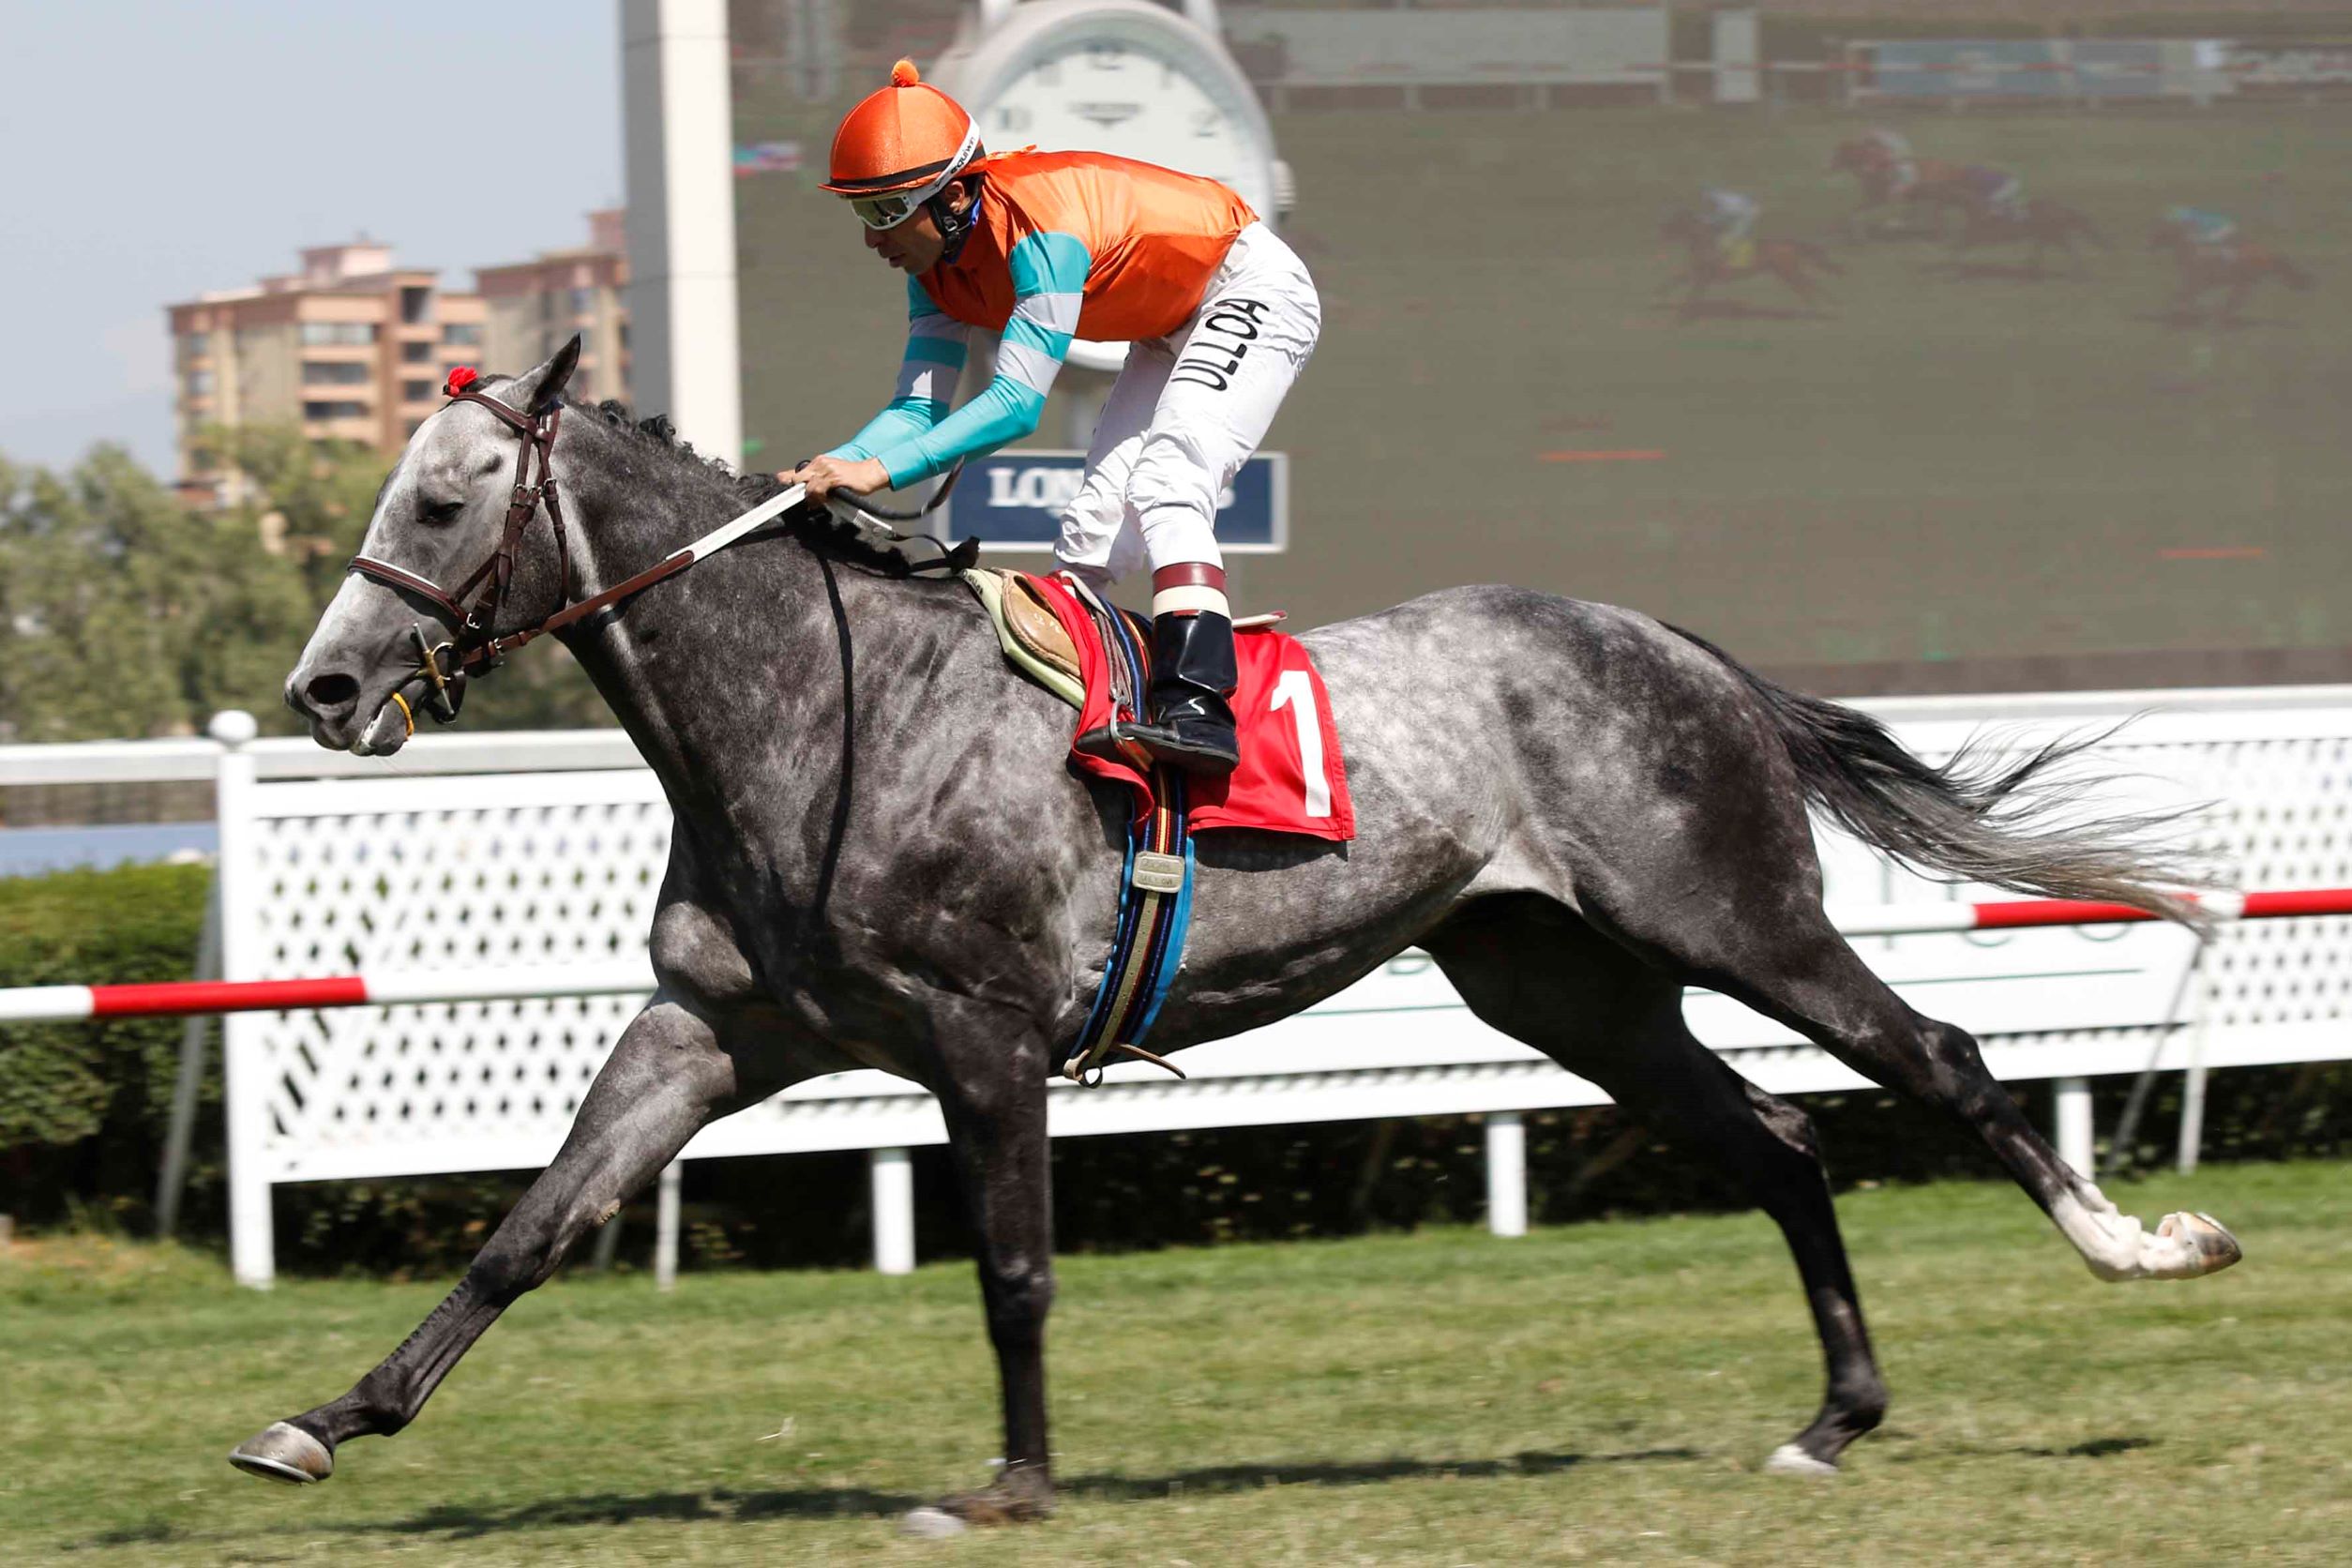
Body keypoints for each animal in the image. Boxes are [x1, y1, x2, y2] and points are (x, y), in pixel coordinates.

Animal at [239, 336, 2243, 1532]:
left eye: (440, 499)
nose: (324, 688)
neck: (818, 708)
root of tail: (1671, 643)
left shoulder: (983, 1033)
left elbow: (1013, 1268)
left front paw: (1009, 1485)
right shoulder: (715, 1030)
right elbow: (528, 1229)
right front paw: (324, 1418)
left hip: (1732, 915)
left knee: (1940, 1062)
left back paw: (2142, 1248)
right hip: (1564, 983)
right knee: (1780, 1142)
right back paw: (1831, 1414)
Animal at [1658, 209, 1843, 314]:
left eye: (1674, 223)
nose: (1662, 233)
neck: (1706, 241)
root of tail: (1790, 244)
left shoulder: (1704, 274)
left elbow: (1691, 292)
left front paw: (1682, 315)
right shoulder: (1697, 271)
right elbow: (1676, 280)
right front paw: (1659, 295)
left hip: (1787, 271)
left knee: (1806, 286)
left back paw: (1818, 309)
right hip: (1786, 271)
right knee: (1810, 283)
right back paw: (1826, 305)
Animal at [1828, 141, 1977, 242]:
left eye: (1837, 155)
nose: (1828, 167)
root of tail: (1953, 168)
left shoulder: (1888, 198)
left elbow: (1895, 215)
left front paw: (1893, 226)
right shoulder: (1875, 200)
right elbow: (1855, 213)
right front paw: (1859, 236)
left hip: (1942, 198)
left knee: (1949, 215)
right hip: (1941, 199)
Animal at [1945, 198, 2106, 278]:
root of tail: (2061, 208)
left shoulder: (1978, 234)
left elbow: (1959, 245)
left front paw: (1954, 270)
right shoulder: (1975, 234)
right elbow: (1959, 244)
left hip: (2053, 235)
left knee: (2070, 249)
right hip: (2048, 235)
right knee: (2058, 249)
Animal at [2149, 224, 2314, 324]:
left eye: (2159, 234)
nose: (2149, 246)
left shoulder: (2199, 283)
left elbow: (2182, 297)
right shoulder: (2200, 284)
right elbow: (2185, 298)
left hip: (2237, 283)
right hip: (2237, 283)